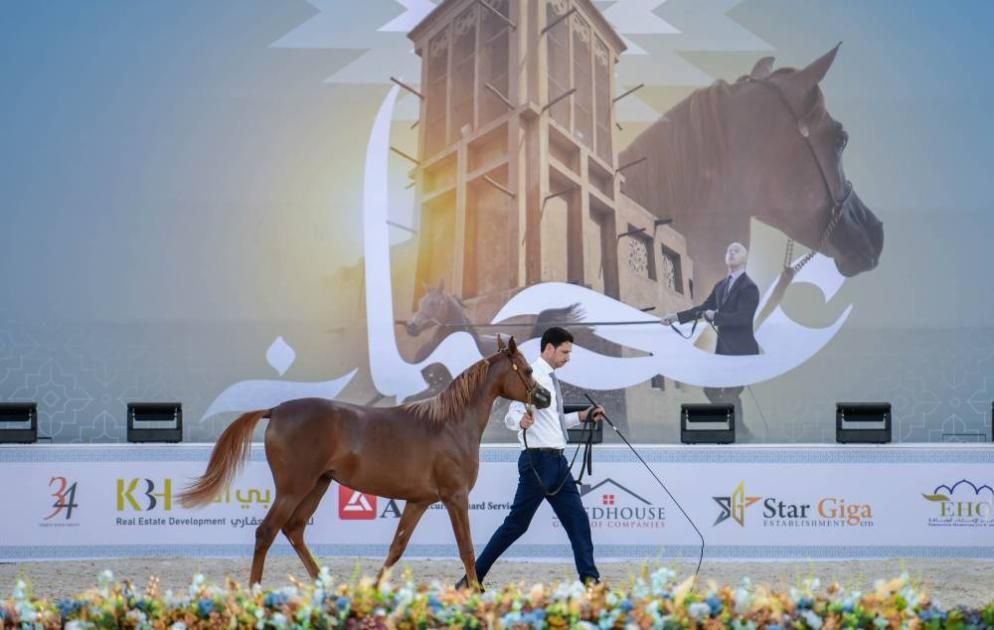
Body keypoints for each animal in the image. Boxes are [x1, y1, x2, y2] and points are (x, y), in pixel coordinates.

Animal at [178, 335, 551, 588]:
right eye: (528, 369)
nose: (545, 397)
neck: (450, 423)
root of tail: (277, 410)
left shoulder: (418, 501)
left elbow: (397, 547)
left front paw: (373, 590)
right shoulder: (455, 498)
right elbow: (468, 549)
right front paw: (475, 591)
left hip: (318, 485)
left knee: (294, 529)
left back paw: (324, 586)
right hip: (294, 487)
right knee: (266, 532)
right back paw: (255, 591)